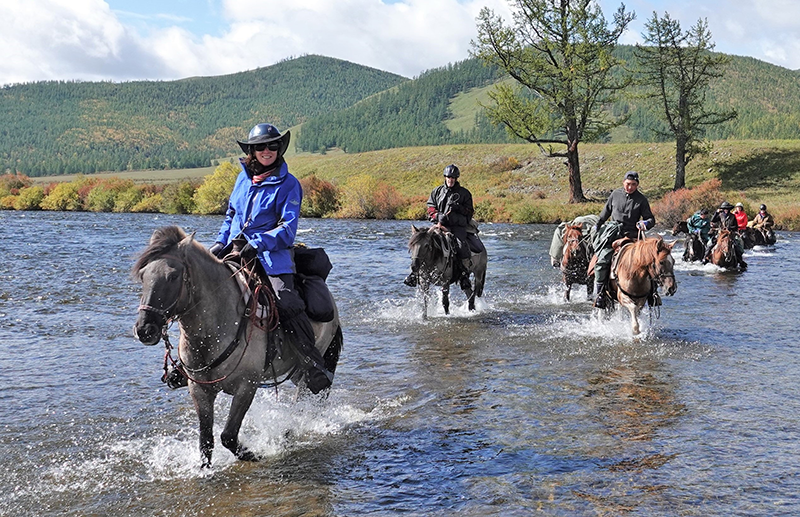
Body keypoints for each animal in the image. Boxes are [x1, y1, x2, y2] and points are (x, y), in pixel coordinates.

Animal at [132, 227, 344, 468]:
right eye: (143, 276)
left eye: (173, 276)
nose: (145, 329)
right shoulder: (199, 389)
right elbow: (206, 440)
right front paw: (204, 470)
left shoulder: (246, 387)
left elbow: (228, 436)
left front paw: (255, 454)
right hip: (296, 370)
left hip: (311, 365)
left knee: (305, 398)